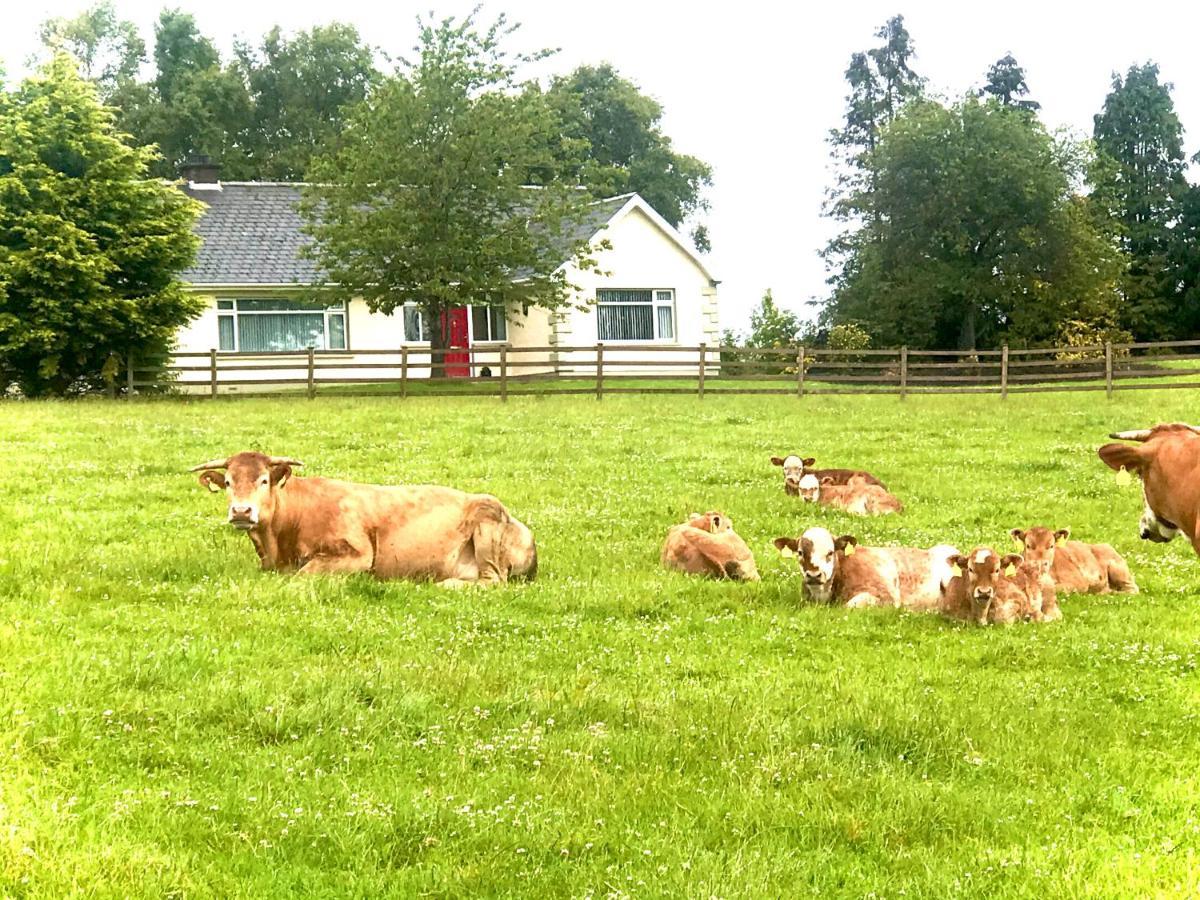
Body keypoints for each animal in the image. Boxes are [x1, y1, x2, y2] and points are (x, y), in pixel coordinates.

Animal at [189, 453, 537, 588]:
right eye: (228, 482)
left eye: (263, 480)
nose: (241, 512)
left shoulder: (357, 554)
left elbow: (303, 575)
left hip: (487, 518)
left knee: (493, 580)